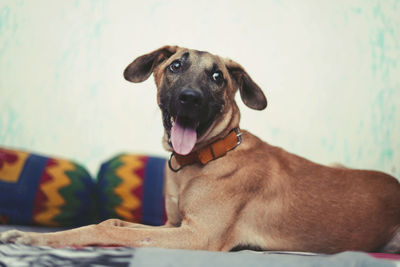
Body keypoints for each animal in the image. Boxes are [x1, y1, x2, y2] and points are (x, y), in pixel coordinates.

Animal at [0, 46, 400, 255]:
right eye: (176, 65)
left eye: (217, 76)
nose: (189, 99)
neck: (205, 159)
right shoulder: (171, 225)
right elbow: (114, 222)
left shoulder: (197, 236)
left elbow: (108, 230)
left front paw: (32, 238)